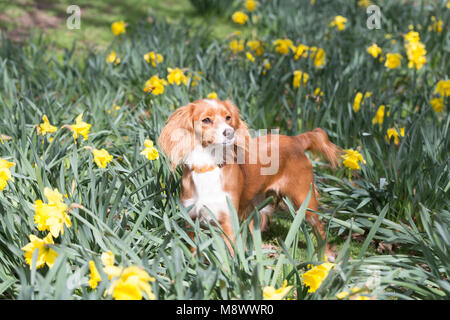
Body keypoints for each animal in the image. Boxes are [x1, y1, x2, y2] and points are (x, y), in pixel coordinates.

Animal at [157, 99, 338, 262]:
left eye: (228, 118)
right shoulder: (191, 220)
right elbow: (195, 249)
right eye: (206, 120)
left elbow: (229, 254)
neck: (209, 165)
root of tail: (296, 140)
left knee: (319, 227)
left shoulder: (228, 220)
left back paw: (327, 255)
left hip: (305, 201)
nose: (230, 132)